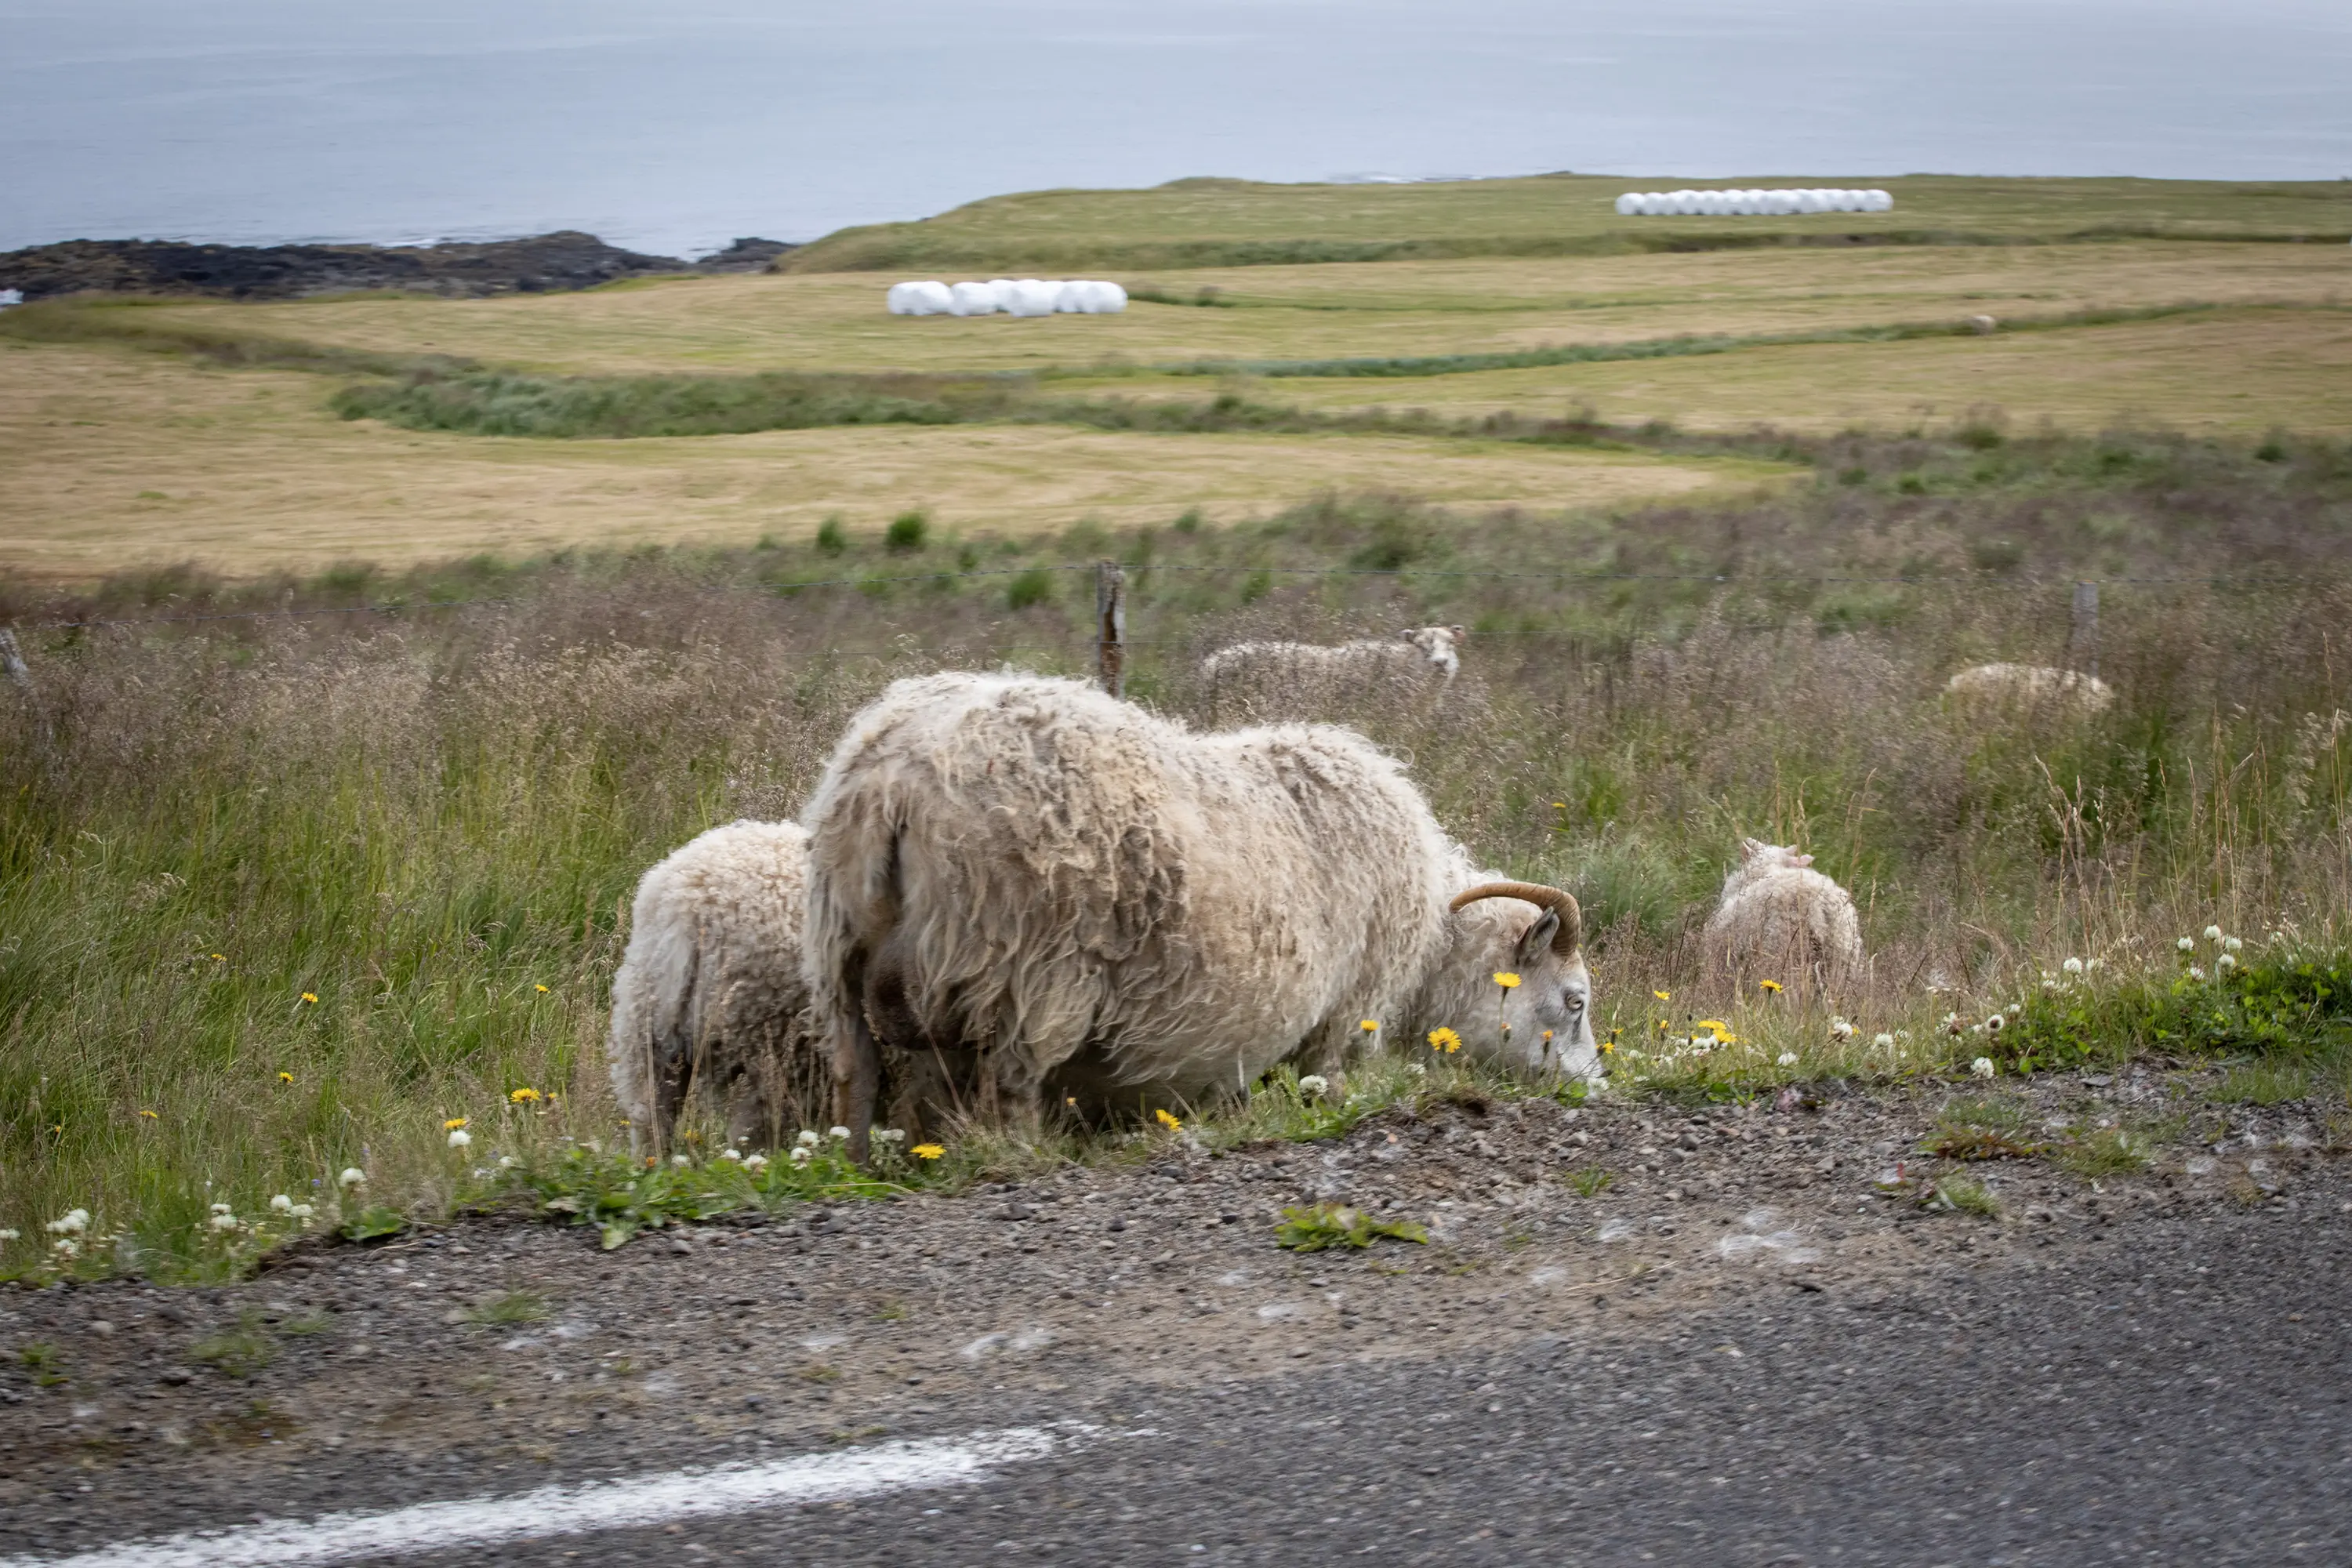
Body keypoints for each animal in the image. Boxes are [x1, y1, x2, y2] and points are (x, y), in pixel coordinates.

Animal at [799, 672, 1597, 1152]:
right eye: (1576, 1000)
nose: (1595, 1087)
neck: (1433, 938)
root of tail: (896, 782)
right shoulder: (1344, 1021)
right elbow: (1329, 1088)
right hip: (1029, 975)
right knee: (1011, 1090)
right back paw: (1021, 1157)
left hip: (841, 951)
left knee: (853, 1074)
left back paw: (856, 1162)